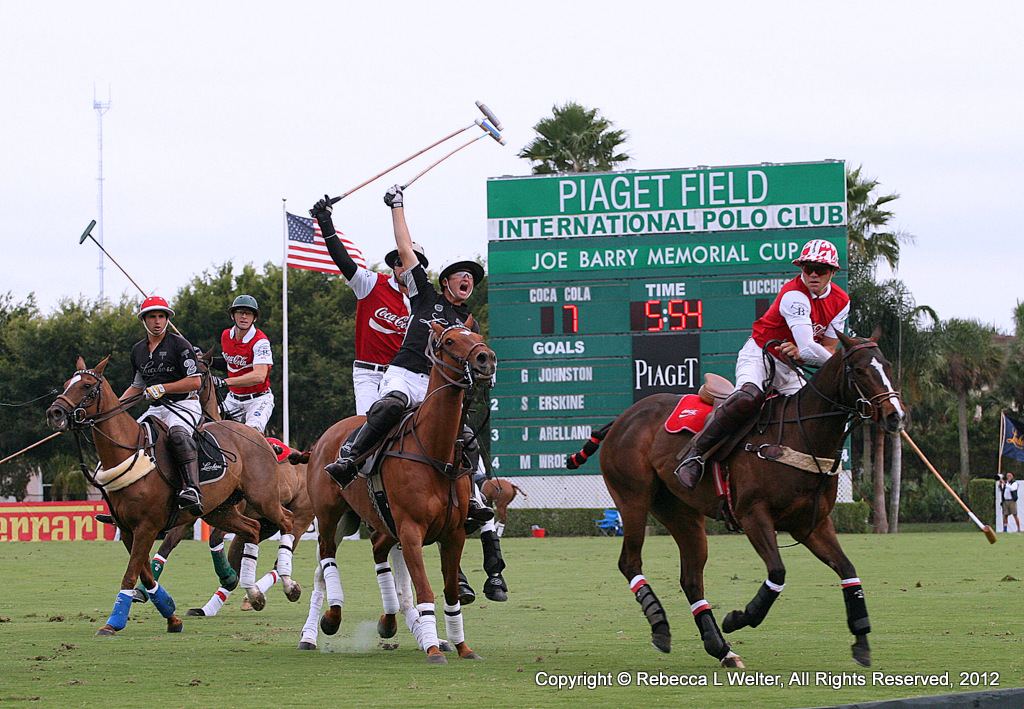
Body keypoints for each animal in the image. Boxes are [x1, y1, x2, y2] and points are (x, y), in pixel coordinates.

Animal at [46, 356, 295, 636]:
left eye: (87, 386)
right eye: (66, 384)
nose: (54, 413)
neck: (128, 453)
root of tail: (257, 436)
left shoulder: (147, 526)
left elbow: (131, 573)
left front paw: (112, 623)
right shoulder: (129, 528)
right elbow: (144, 573)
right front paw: (171, 615)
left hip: (262, 497)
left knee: (286, 521)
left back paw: (288, 585)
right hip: (219, 510)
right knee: (251, 529)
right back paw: (254, 594)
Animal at [306, 321, 496, 663]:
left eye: (476, 337)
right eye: (449, 341)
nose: (486, 359)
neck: (435, 451)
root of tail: (327, 434)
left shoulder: (454, 533)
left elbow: (450, 592)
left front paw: (462, 646)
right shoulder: (410, 530)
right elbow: (425, 590)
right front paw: (433, 649)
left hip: (374, 519)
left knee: (376, 550)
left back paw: (387, 621)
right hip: (329, 514)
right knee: (327, 558)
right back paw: (329, 619)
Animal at [565, 329, 905, 668]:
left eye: (888, 365)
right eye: (859, 370)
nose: (895, 416)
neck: (801, 434)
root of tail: (621, 418)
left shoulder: (812, 524)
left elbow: (848, 570)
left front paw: (861, 641)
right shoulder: (753, 515)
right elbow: (778, 572)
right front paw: (740, 618)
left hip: (681, 512)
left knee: (691, 579)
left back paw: (721, 648)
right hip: (633, 498)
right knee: (630, 561)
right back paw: (662, 627)